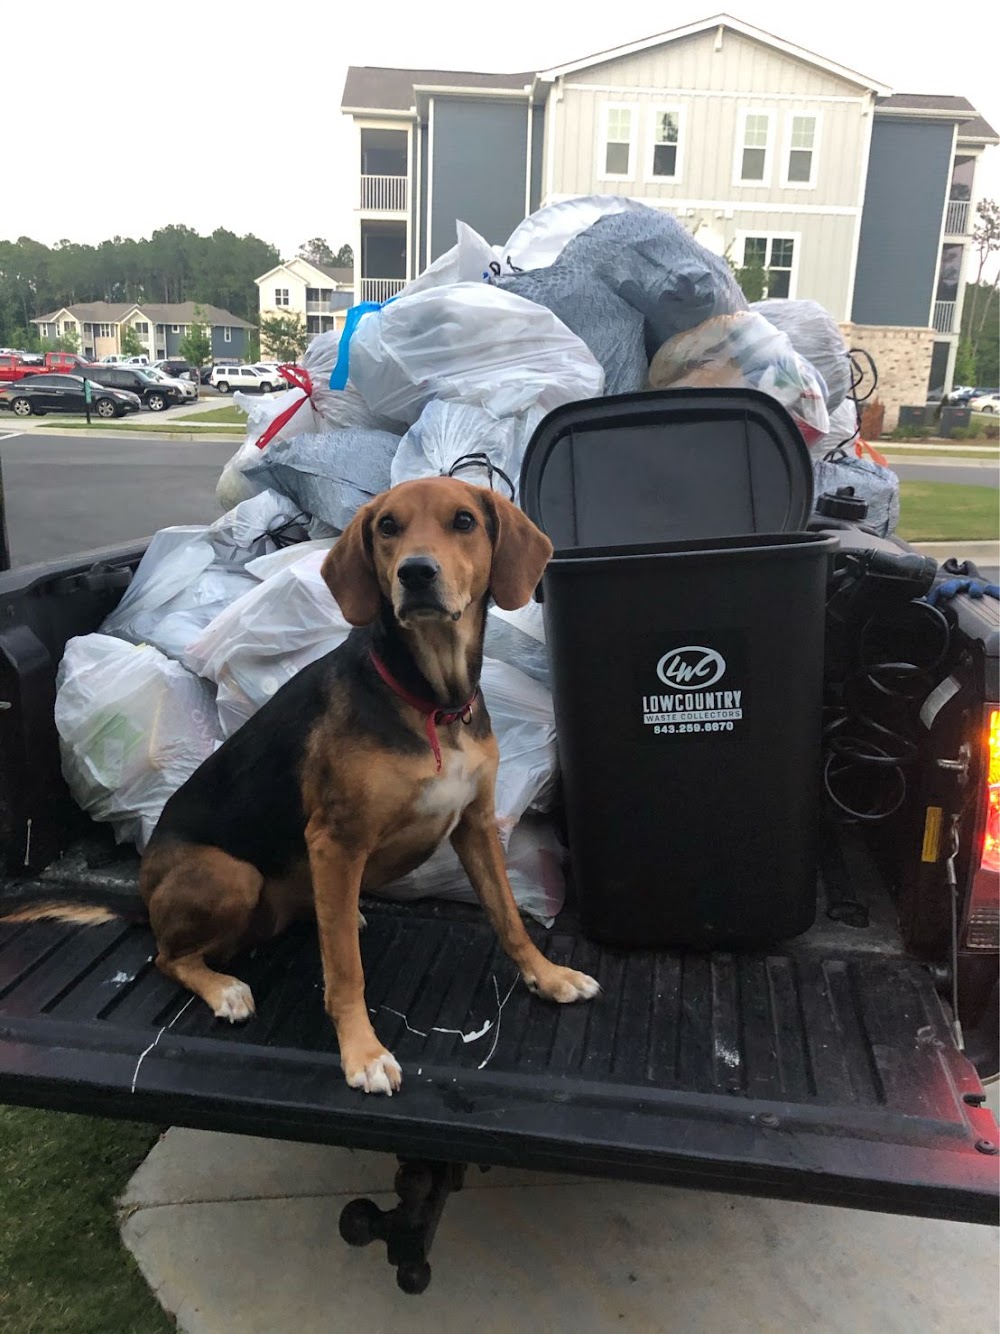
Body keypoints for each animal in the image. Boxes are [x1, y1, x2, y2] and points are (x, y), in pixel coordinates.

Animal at [137, 480, 600, 1093]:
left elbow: (508, 917)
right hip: (231, 875)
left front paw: (547, 976)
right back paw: (224, 987)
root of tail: (143, 885)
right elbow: (345, 971)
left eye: (464, 520)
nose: (416, 572)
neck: (431, 703)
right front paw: (362, 1052)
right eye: (387, 526)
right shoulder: (336, 841)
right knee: (166, 957)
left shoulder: (475, 824)